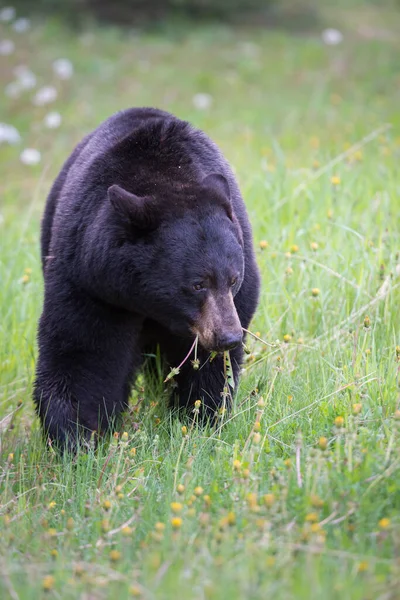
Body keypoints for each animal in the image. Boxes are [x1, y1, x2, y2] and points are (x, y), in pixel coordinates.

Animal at [33, 108, 260, 448]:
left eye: (233, 279)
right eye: (197, 284)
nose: (228, 336)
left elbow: (210, 368)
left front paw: (200, 417)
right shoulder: (89, 278)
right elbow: (82, 350)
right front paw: (76, 436)